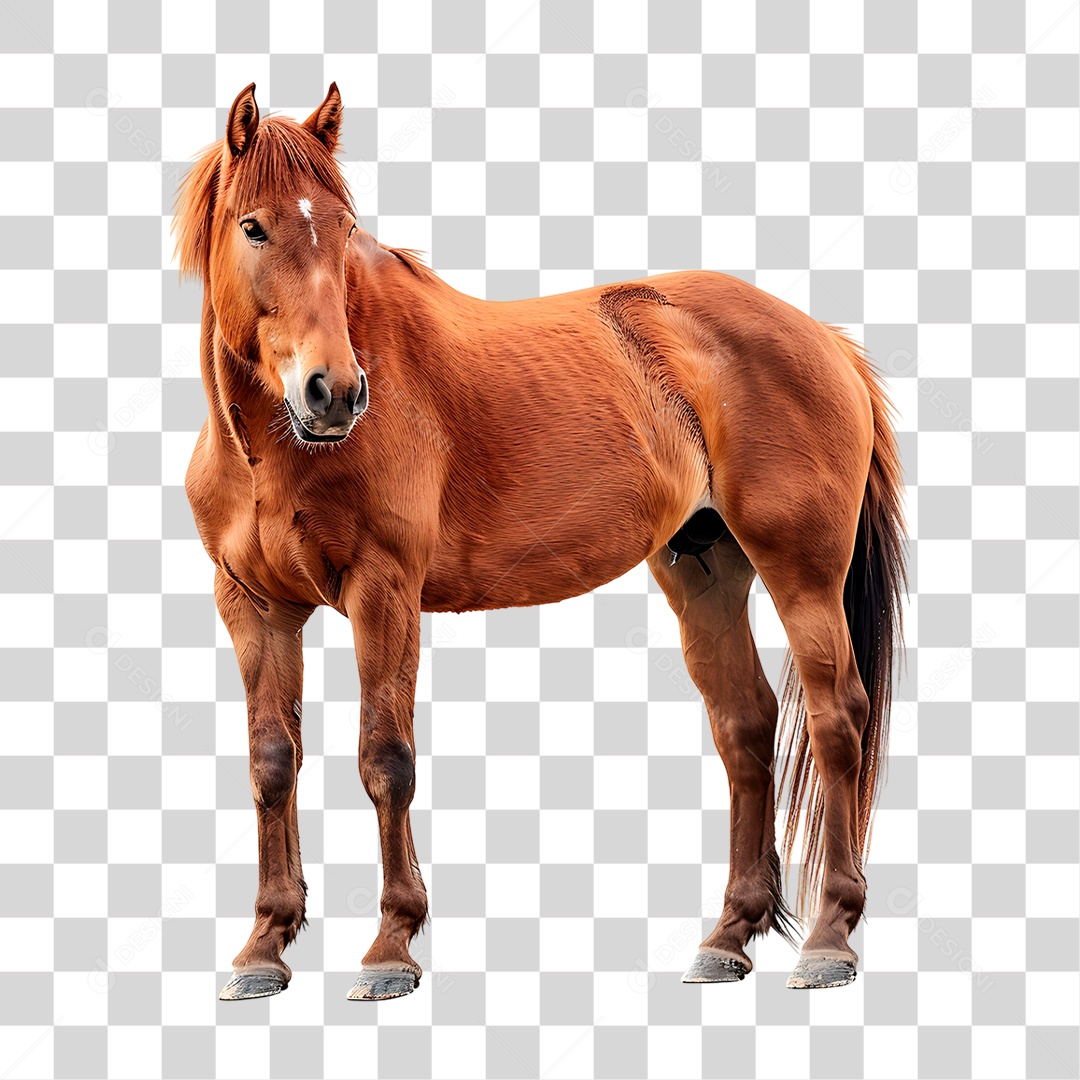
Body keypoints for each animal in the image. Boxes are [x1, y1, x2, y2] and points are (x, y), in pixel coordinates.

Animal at [174, 83, 906, 1001]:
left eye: (343, 228)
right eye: (254, 227)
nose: (334, 393)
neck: (276, 449)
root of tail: (826, 341)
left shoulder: (383, 593)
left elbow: (385, 758)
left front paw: (390, 949)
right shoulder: (255, 607)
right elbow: (272, 762)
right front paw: (263, 949)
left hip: (802, 573)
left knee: (837, 717)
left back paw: (830, 938)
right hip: (705, 570)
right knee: (746, 726)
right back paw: (728, 937)